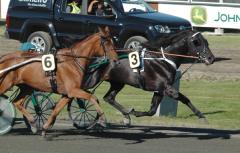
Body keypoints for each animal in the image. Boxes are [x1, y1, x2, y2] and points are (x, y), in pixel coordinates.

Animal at [83, 29, 215, 124]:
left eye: (206, 42)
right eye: (197, 42)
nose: (211, 58)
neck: (163, 59)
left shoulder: (160, 90)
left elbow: (152, 111)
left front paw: (134, 112)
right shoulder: (167, 88)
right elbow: (182, 97)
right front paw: (201, 116)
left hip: (118, 82)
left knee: (109, 97)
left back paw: (126, 114)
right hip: (92, 79)